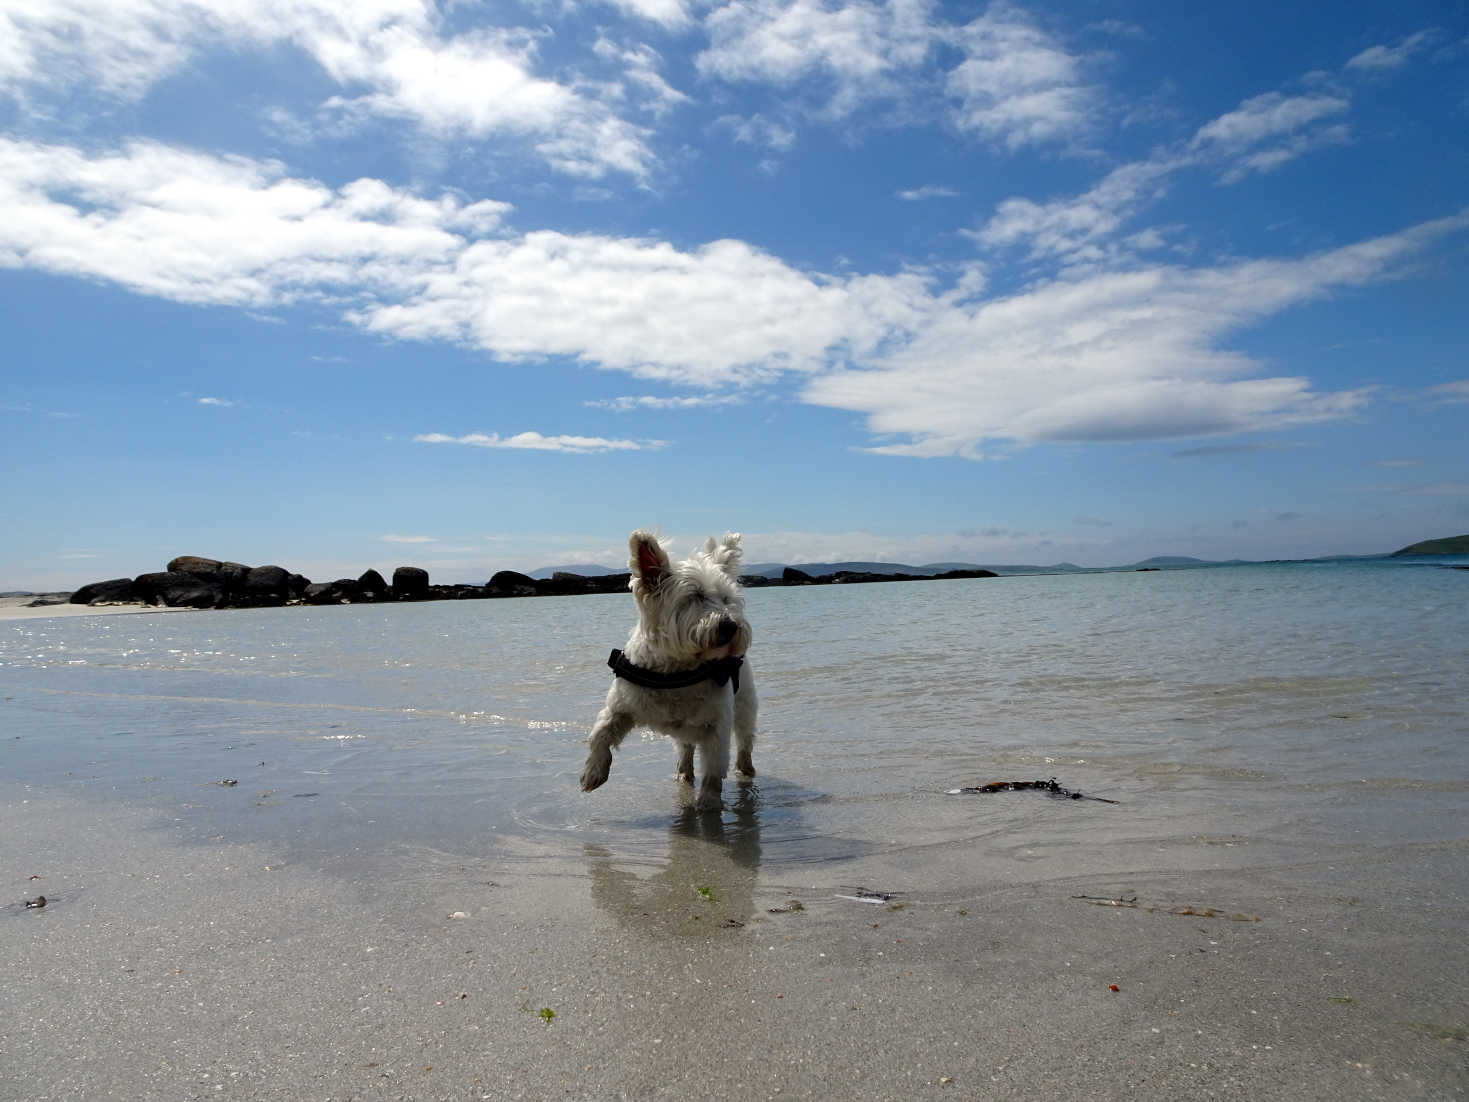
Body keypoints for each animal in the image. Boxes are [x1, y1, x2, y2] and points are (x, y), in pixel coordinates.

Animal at [575, 531, 758, 816]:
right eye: (695, 595)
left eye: (727, 598)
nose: (730, 626)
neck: (676, 670)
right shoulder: (622, 705)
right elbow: (600, 733)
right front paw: (593, 773)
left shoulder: (717, 726)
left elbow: (713, 770)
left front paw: (709, 805)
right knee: (685, 747)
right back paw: (683, 772)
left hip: (745, 704)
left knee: (745, 738)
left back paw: (745, 769)